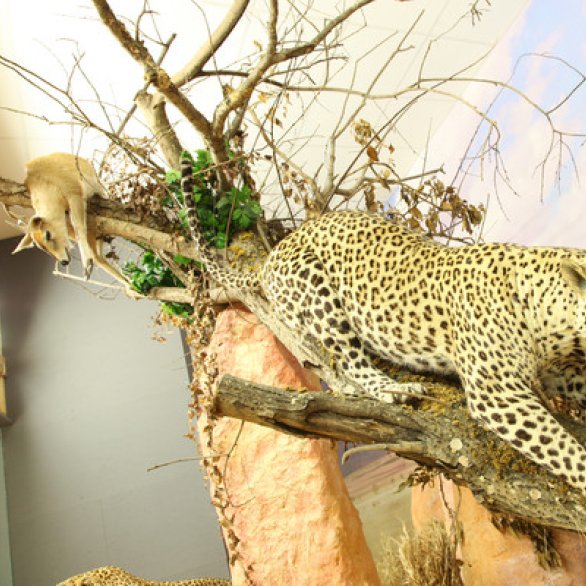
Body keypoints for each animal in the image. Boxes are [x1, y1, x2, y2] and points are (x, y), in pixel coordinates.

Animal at [12, 149, 125, 282]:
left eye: (47, 234)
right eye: (40, 247)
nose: (63, 262)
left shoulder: (75, 195)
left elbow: (79, 227)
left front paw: (86, 264)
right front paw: (87, 267)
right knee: (99, 258)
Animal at [179, 156, 586, 492]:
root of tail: (269, 258)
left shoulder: (558, 369)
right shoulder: (497, 394)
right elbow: (562, 448)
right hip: (318, 291)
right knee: (351, 360)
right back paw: (394, 389)